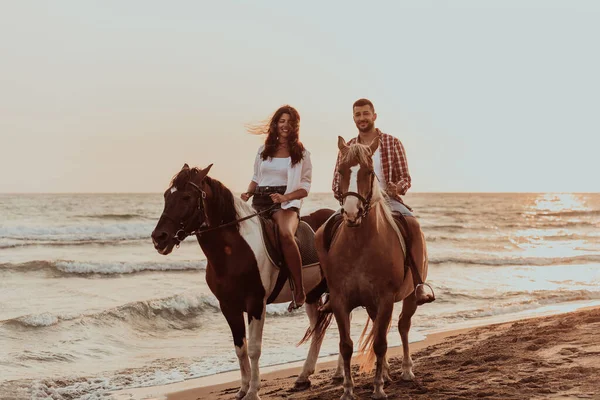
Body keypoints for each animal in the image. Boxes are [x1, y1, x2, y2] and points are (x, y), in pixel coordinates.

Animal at [150, 164, 336, 400]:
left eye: (186, 197)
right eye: (166, 195)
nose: (159, 238)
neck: (233, 251)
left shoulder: (256, 303)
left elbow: (254, 348)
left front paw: (254, 391)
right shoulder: (228, 306)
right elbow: (240, 348)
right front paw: (243, 389)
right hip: (312, 295)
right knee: (319, 330)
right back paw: (306, 377)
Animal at [312, 138, 424, 400]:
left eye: (369, 172)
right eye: (341, 171)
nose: (351, 212)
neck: (359, 245)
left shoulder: (385, 299)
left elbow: (381, 343)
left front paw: (379, 389)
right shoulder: (341, 301)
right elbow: (346, 346)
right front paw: (348, 391)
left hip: (410, 297)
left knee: (403, 326)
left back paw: (406, 371)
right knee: (378, 327)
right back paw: (386, 372)